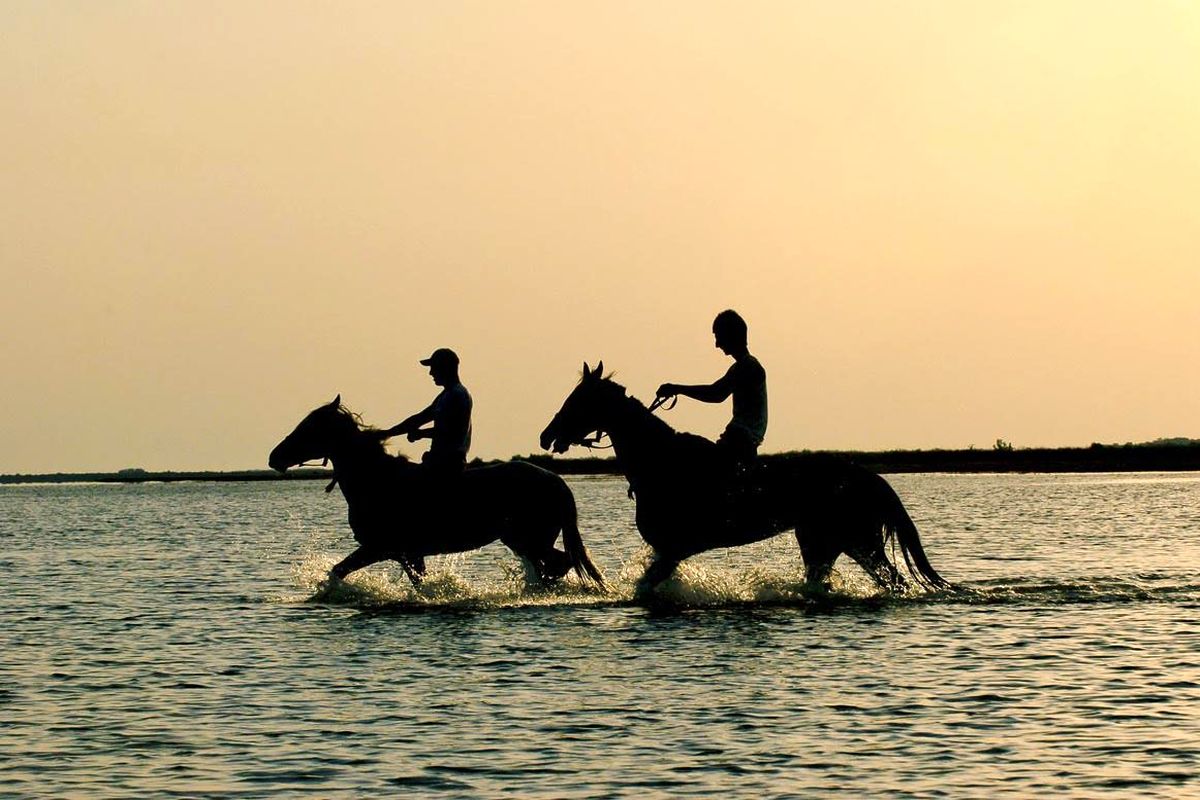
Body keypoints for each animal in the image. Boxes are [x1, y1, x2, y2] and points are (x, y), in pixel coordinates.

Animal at [273, 398, 609, 592]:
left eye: (309, 427)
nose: (274, 457)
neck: (377, 480)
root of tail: (556, 481)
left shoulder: (381, 548)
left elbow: (338, 572)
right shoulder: (408, 554)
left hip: (532, 539)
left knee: (559, 564)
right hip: (522, 540)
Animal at [542, 362, 945, 594]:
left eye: (579, 400)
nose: (546, 436)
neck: (661, 463)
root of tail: (871, 478)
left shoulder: (675, 549)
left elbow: (645, 587)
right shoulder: (669, 551)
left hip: (858, 540)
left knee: (894, 581)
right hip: (825, 543)